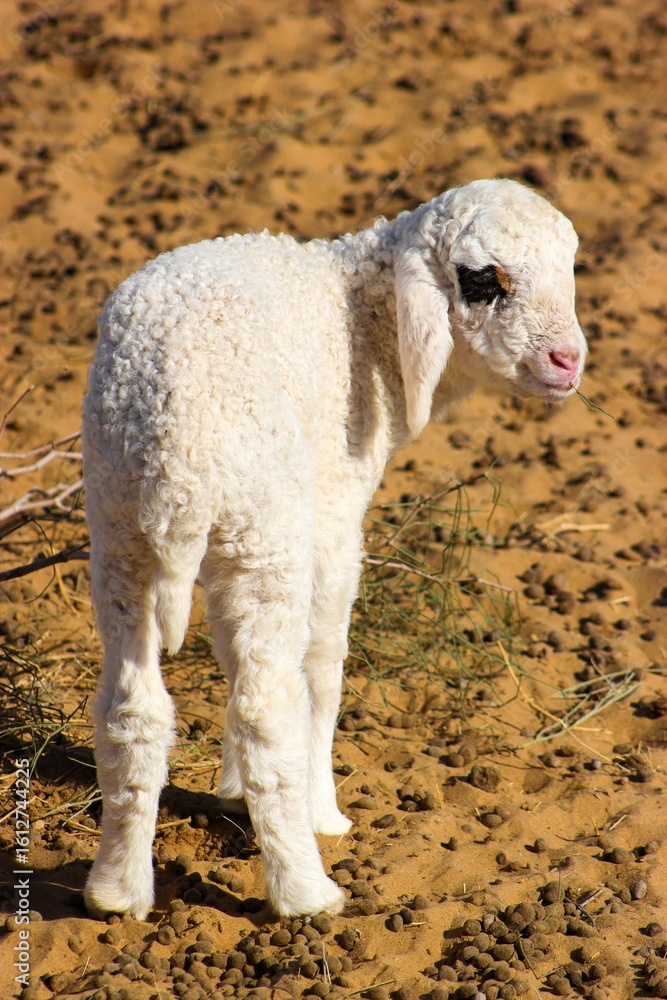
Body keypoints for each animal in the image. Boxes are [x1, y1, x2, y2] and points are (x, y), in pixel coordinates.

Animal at [81, 178, 587, 921]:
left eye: (569, 267)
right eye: (482, 279)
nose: (567, 363)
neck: (363, 317)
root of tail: (176, 448)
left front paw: (232, 788)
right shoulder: (333, 516)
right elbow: (320, 664)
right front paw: (319, 809)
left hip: (124, 529)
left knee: (134, 708)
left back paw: (117, 892)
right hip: (264, 529)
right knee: (266, 705)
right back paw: (304, 888)